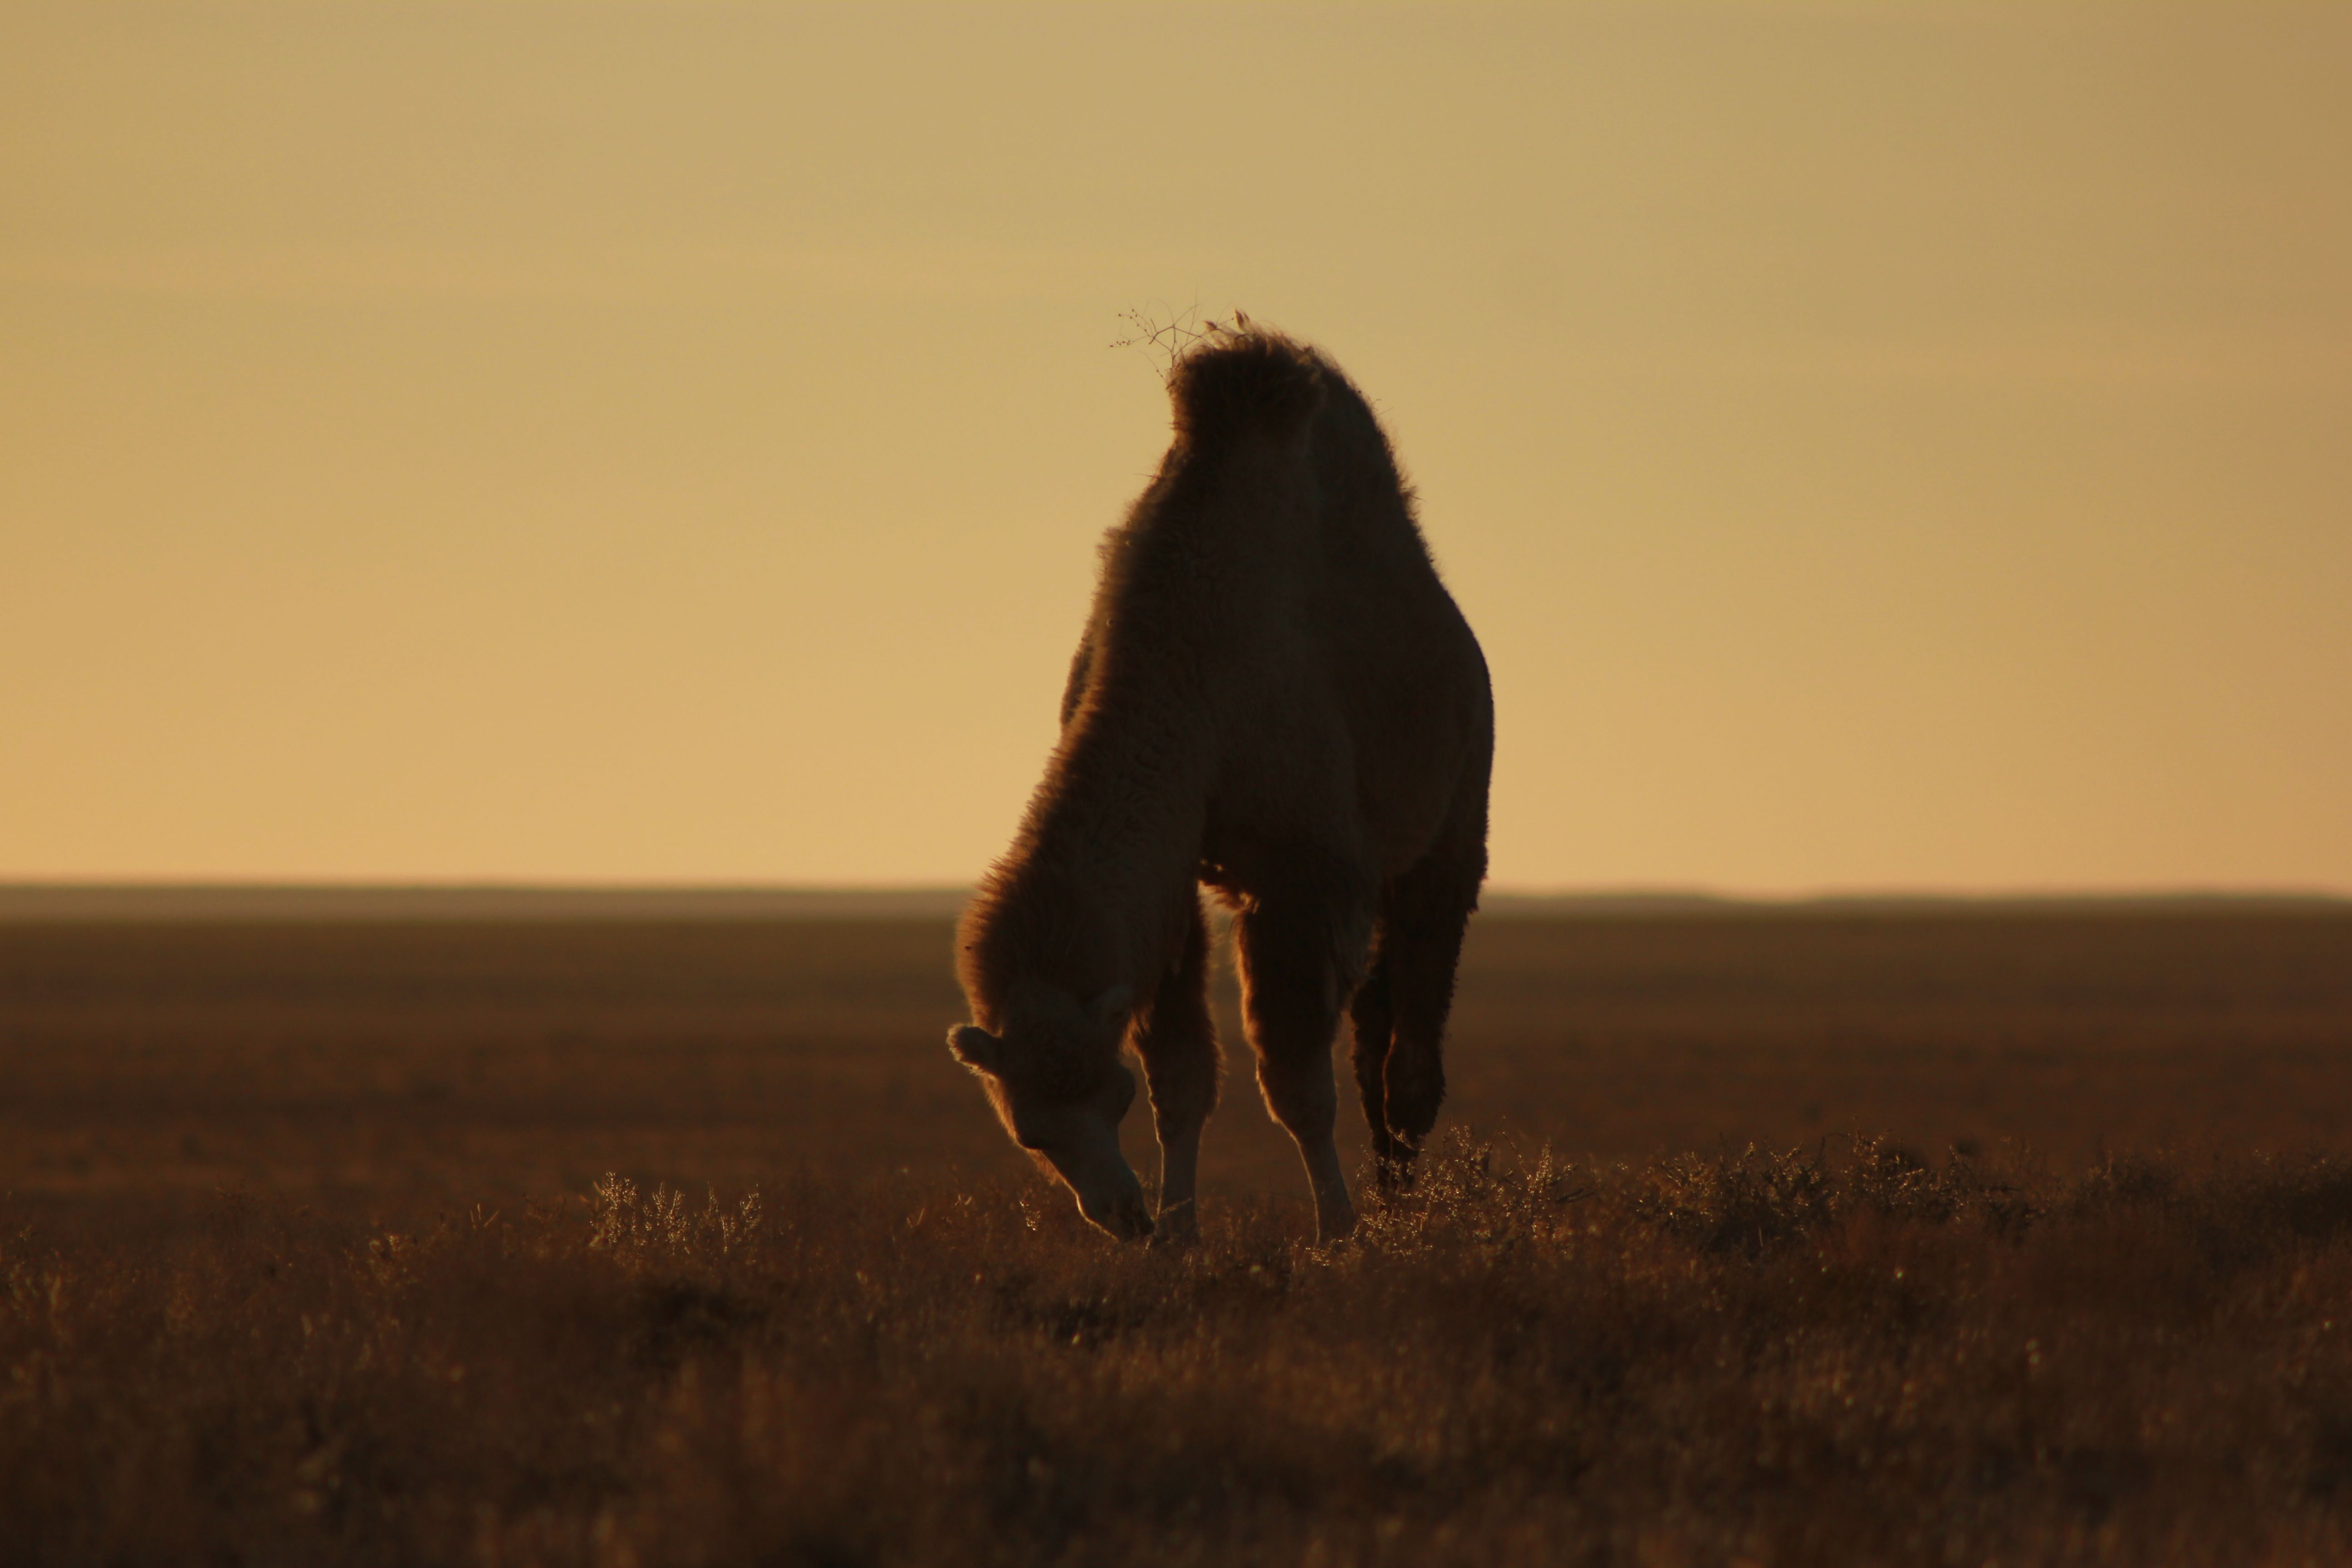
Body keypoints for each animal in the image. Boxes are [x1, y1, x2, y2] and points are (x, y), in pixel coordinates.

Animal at [947, 325, 1492, 1244]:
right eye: (1028, 1132)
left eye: (1110, 1095)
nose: (1119, 1215)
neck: (1188, 662)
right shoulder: (1174, 879)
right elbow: (1183, 1078)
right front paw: (1180, 1234)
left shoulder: (1303, 876)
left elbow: (1297, 1087)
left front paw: (1336, 1232)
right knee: (1376, 1037)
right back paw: (1393, 1201)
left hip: (1457, 813)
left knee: (1412, 1046)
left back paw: (1402, 1212)